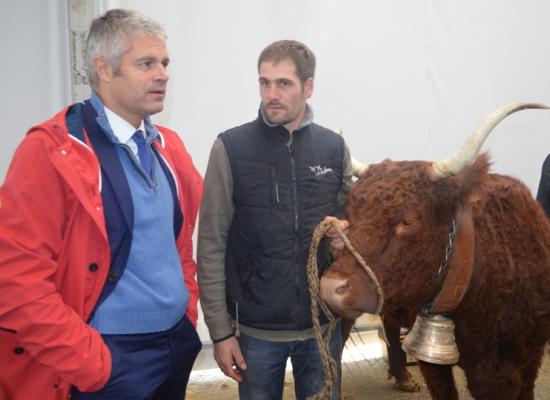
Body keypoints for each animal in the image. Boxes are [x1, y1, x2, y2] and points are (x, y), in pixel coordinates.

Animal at [322, 101, 550, 398]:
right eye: (349, 214)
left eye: (407, 221)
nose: (330, 287)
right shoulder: (433, 361)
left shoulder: (529, 357)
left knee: (389, 324)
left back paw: (402, 375)